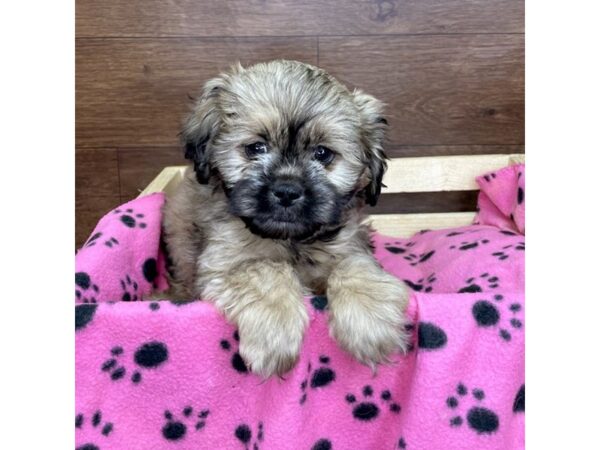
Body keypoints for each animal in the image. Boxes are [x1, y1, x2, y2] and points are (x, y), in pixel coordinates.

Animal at [162, 59, 410, 376]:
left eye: (322, 154)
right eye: (256, 148)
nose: (287, 191)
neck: (291, 239)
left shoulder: (350, 244)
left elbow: (354, 266)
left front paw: (369, 321)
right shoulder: (221, 265)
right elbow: (264, 270)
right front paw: (275, 331)